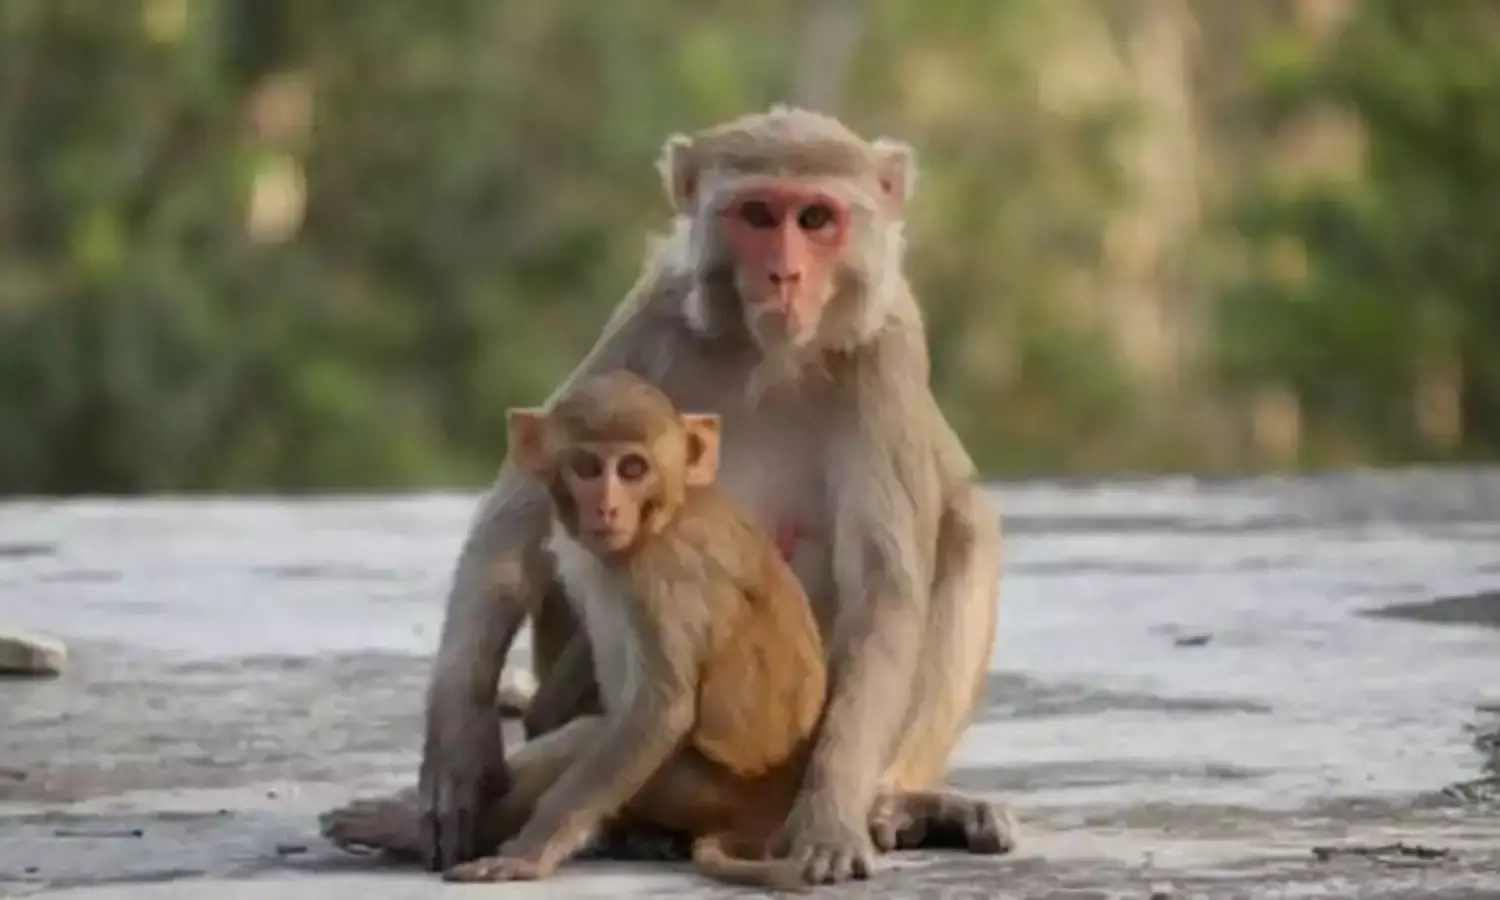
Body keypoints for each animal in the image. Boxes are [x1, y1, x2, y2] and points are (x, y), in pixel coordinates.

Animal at [319, 105, 1015, 884]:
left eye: (815, 218)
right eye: (757, 214)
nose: (783, 273)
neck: (771, 356)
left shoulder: (886, 353)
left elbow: (883, 588)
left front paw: (833, 813)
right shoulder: (651, 318)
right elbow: (521, 517)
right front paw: (459, 735)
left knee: (966, 523)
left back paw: (899, 802)